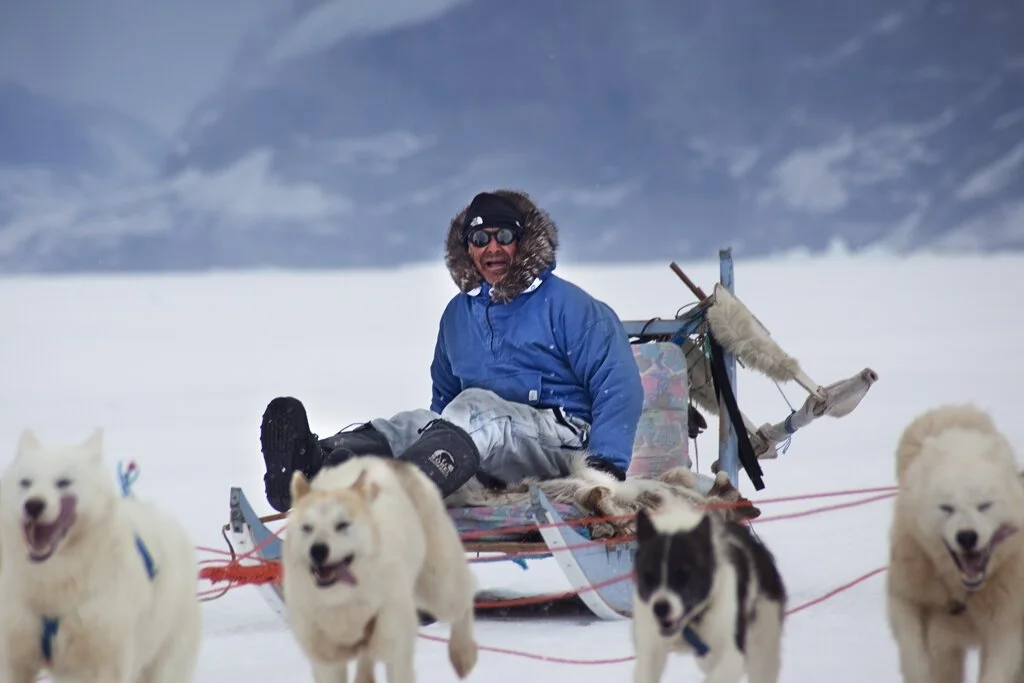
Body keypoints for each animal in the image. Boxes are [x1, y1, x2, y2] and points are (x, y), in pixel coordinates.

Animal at [0, 428, 201, 683]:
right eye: (25, 482)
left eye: (63, 482)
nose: (33, 505)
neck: (56, 579)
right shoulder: (13, 655)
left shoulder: (106, 660)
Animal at [283, 456, 478, 683]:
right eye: (307, 527)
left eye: (342, 525)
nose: (317, 550)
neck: (342, 601)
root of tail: (390, 460)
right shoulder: (326, 658)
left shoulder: (394, 644)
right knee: (366, 658)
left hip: (441, 589)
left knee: (465, 599)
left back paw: (462, 652)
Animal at [631, 500, 786, 683]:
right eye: (648, 577)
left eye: (684, 575)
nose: (660, 608)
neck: (691, 622)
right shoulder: (650, 650)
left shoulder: (733, 652)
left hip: (763, 644)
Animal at [886, 404, 1024, 683]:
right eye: (946, 507)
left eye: (985, 505)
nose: (967, 536)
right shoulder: (910, 593)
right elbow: (914, 657)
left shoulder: (1007, 616)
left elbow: (998, 666)